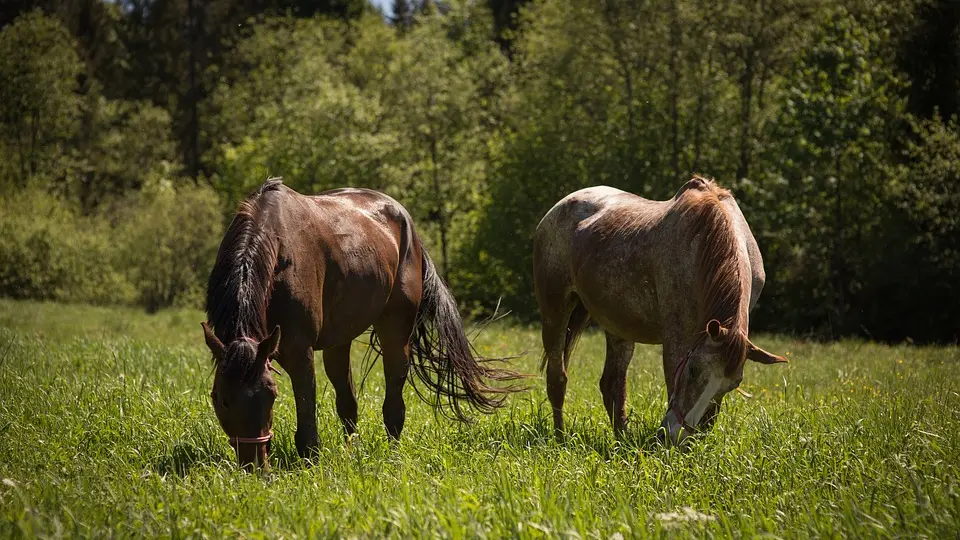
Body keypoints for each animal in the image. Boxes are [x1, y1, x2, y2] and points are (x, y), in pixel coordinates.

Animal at [202, 177, 524, 468]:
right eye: (221, 398)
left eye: (271, 396)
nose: (254, 465)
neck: (276, 248)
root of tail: (406, 221)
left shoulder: (299, 351)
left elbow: (307, 414)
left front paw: (310, 463)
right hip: (339, 341)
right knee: (348, 402)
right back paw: (350, 452)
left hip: (395, 332)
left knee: (393, 402)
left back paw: (393, 453)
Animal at [532, 175, 788, 446]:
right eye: (693, 370)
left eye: (732, 385)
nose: (676, 435)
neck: (705, 242)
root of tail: (558, 208)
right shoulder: (678, 338)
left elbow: (712, 413)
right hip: (555, 313)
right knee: (557, 378)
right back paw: (560, 438)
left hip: (618, 326)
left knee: (613, 385)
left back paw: (622, 440)